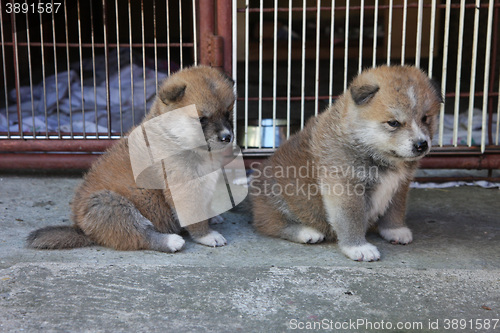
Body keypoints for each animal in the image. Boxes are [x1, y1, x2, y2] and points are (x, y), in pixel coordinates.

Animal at [27, 65, 236, 252]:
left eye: (227, 113)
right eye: (202, 119)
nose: (227, 137)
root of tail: (81, 228)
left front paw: (213, 216)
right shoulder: (183, 186)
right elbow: (194, 216)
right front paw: (207, 235)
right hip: (111, 205)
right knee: (139, 235)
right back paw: (171, 241)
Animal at [250, 66, 442, 260]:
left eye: (425, 118)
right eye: (393, 123)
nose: (421, 145)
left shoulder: (399, 186)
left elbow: (395, 210)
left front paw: (395, 230)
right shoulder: (345, 187)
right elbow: (351, 220)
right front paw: (358, 247)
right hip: (278, 200)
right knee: (272, 224)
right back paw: (306, 232)